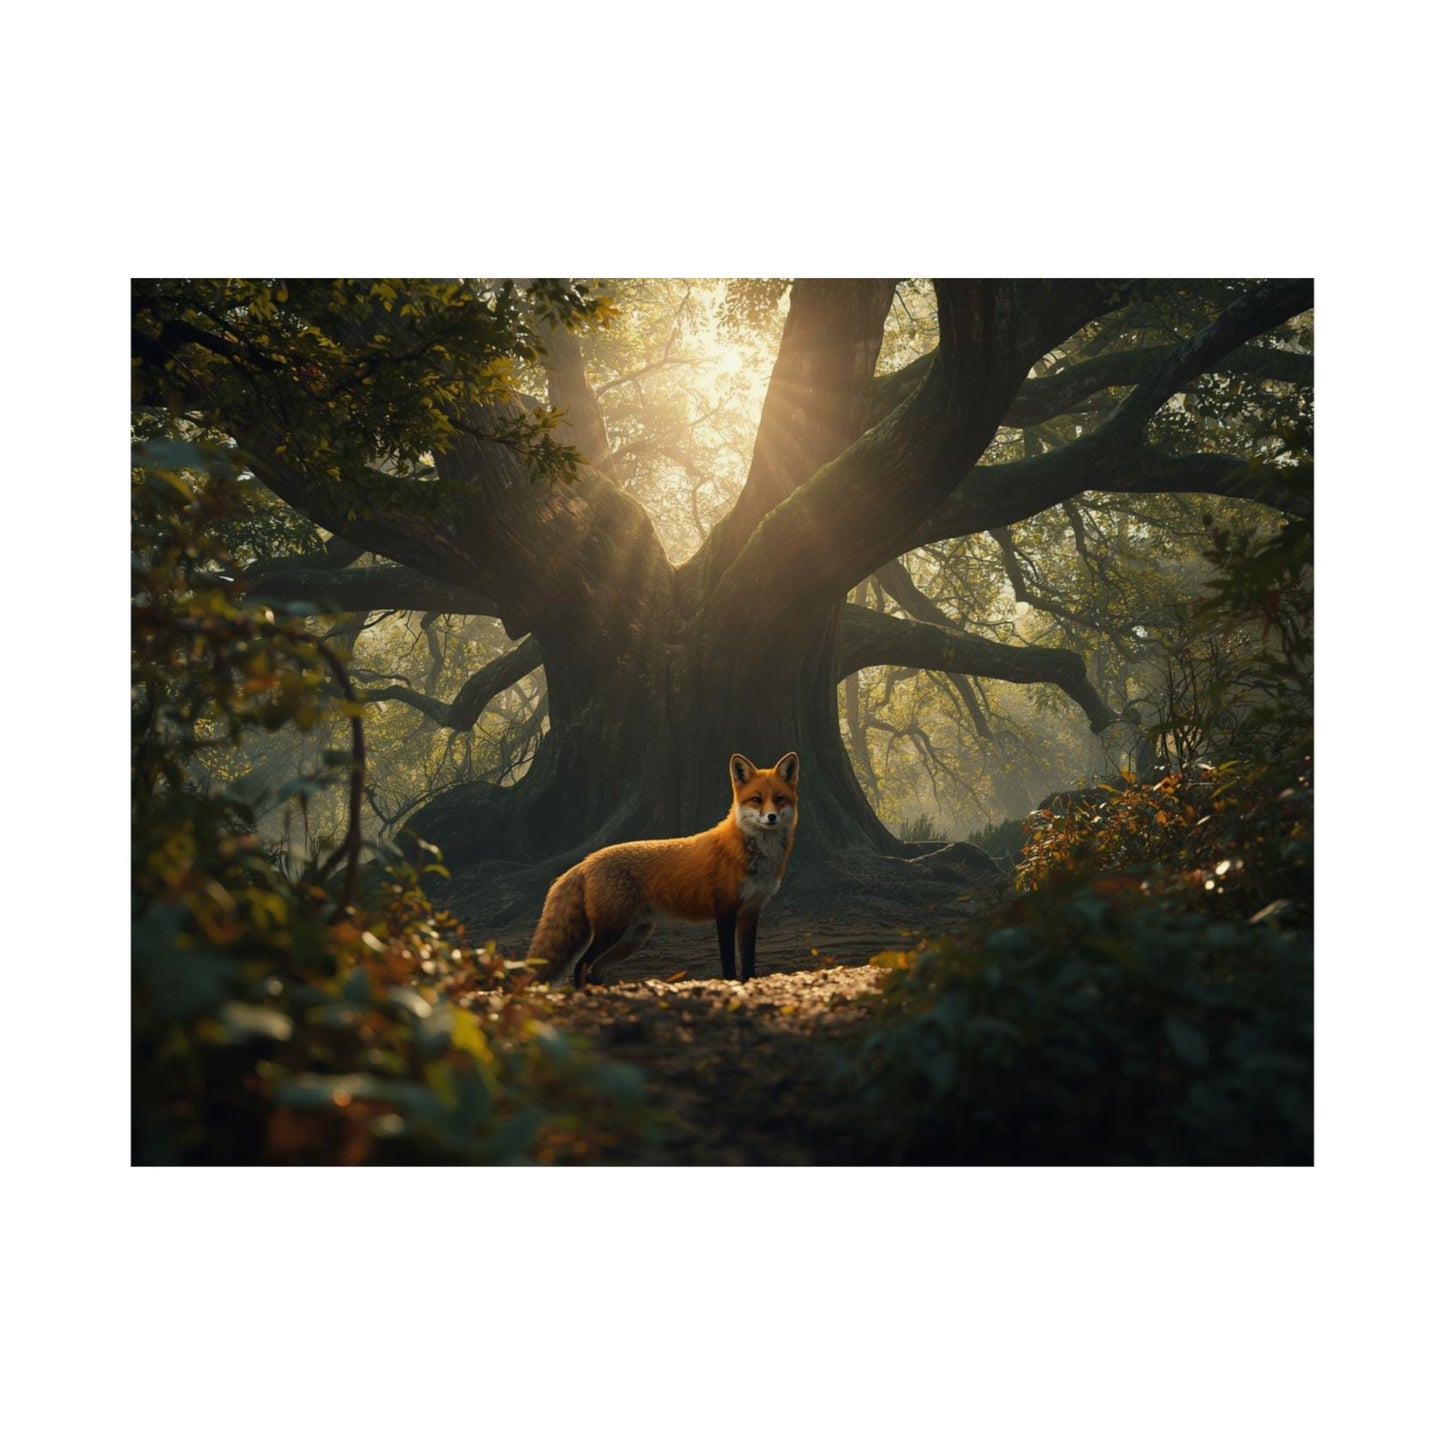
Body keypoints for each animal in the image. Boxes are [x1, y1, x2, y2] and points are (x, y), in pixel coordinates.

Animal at [526, 752, 800, 987]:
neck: (755, 855)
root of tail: (586, 860)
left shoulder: (750, 913)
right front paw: (731, 986)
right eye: (756, 799)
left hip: (632, 938)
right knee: (581, 966)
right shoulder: (725, 912)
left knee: (595, 970)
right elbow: (729, 965)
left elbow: (749, 964)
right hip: (611, 932)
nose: (772, 817)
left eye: (779, 799)